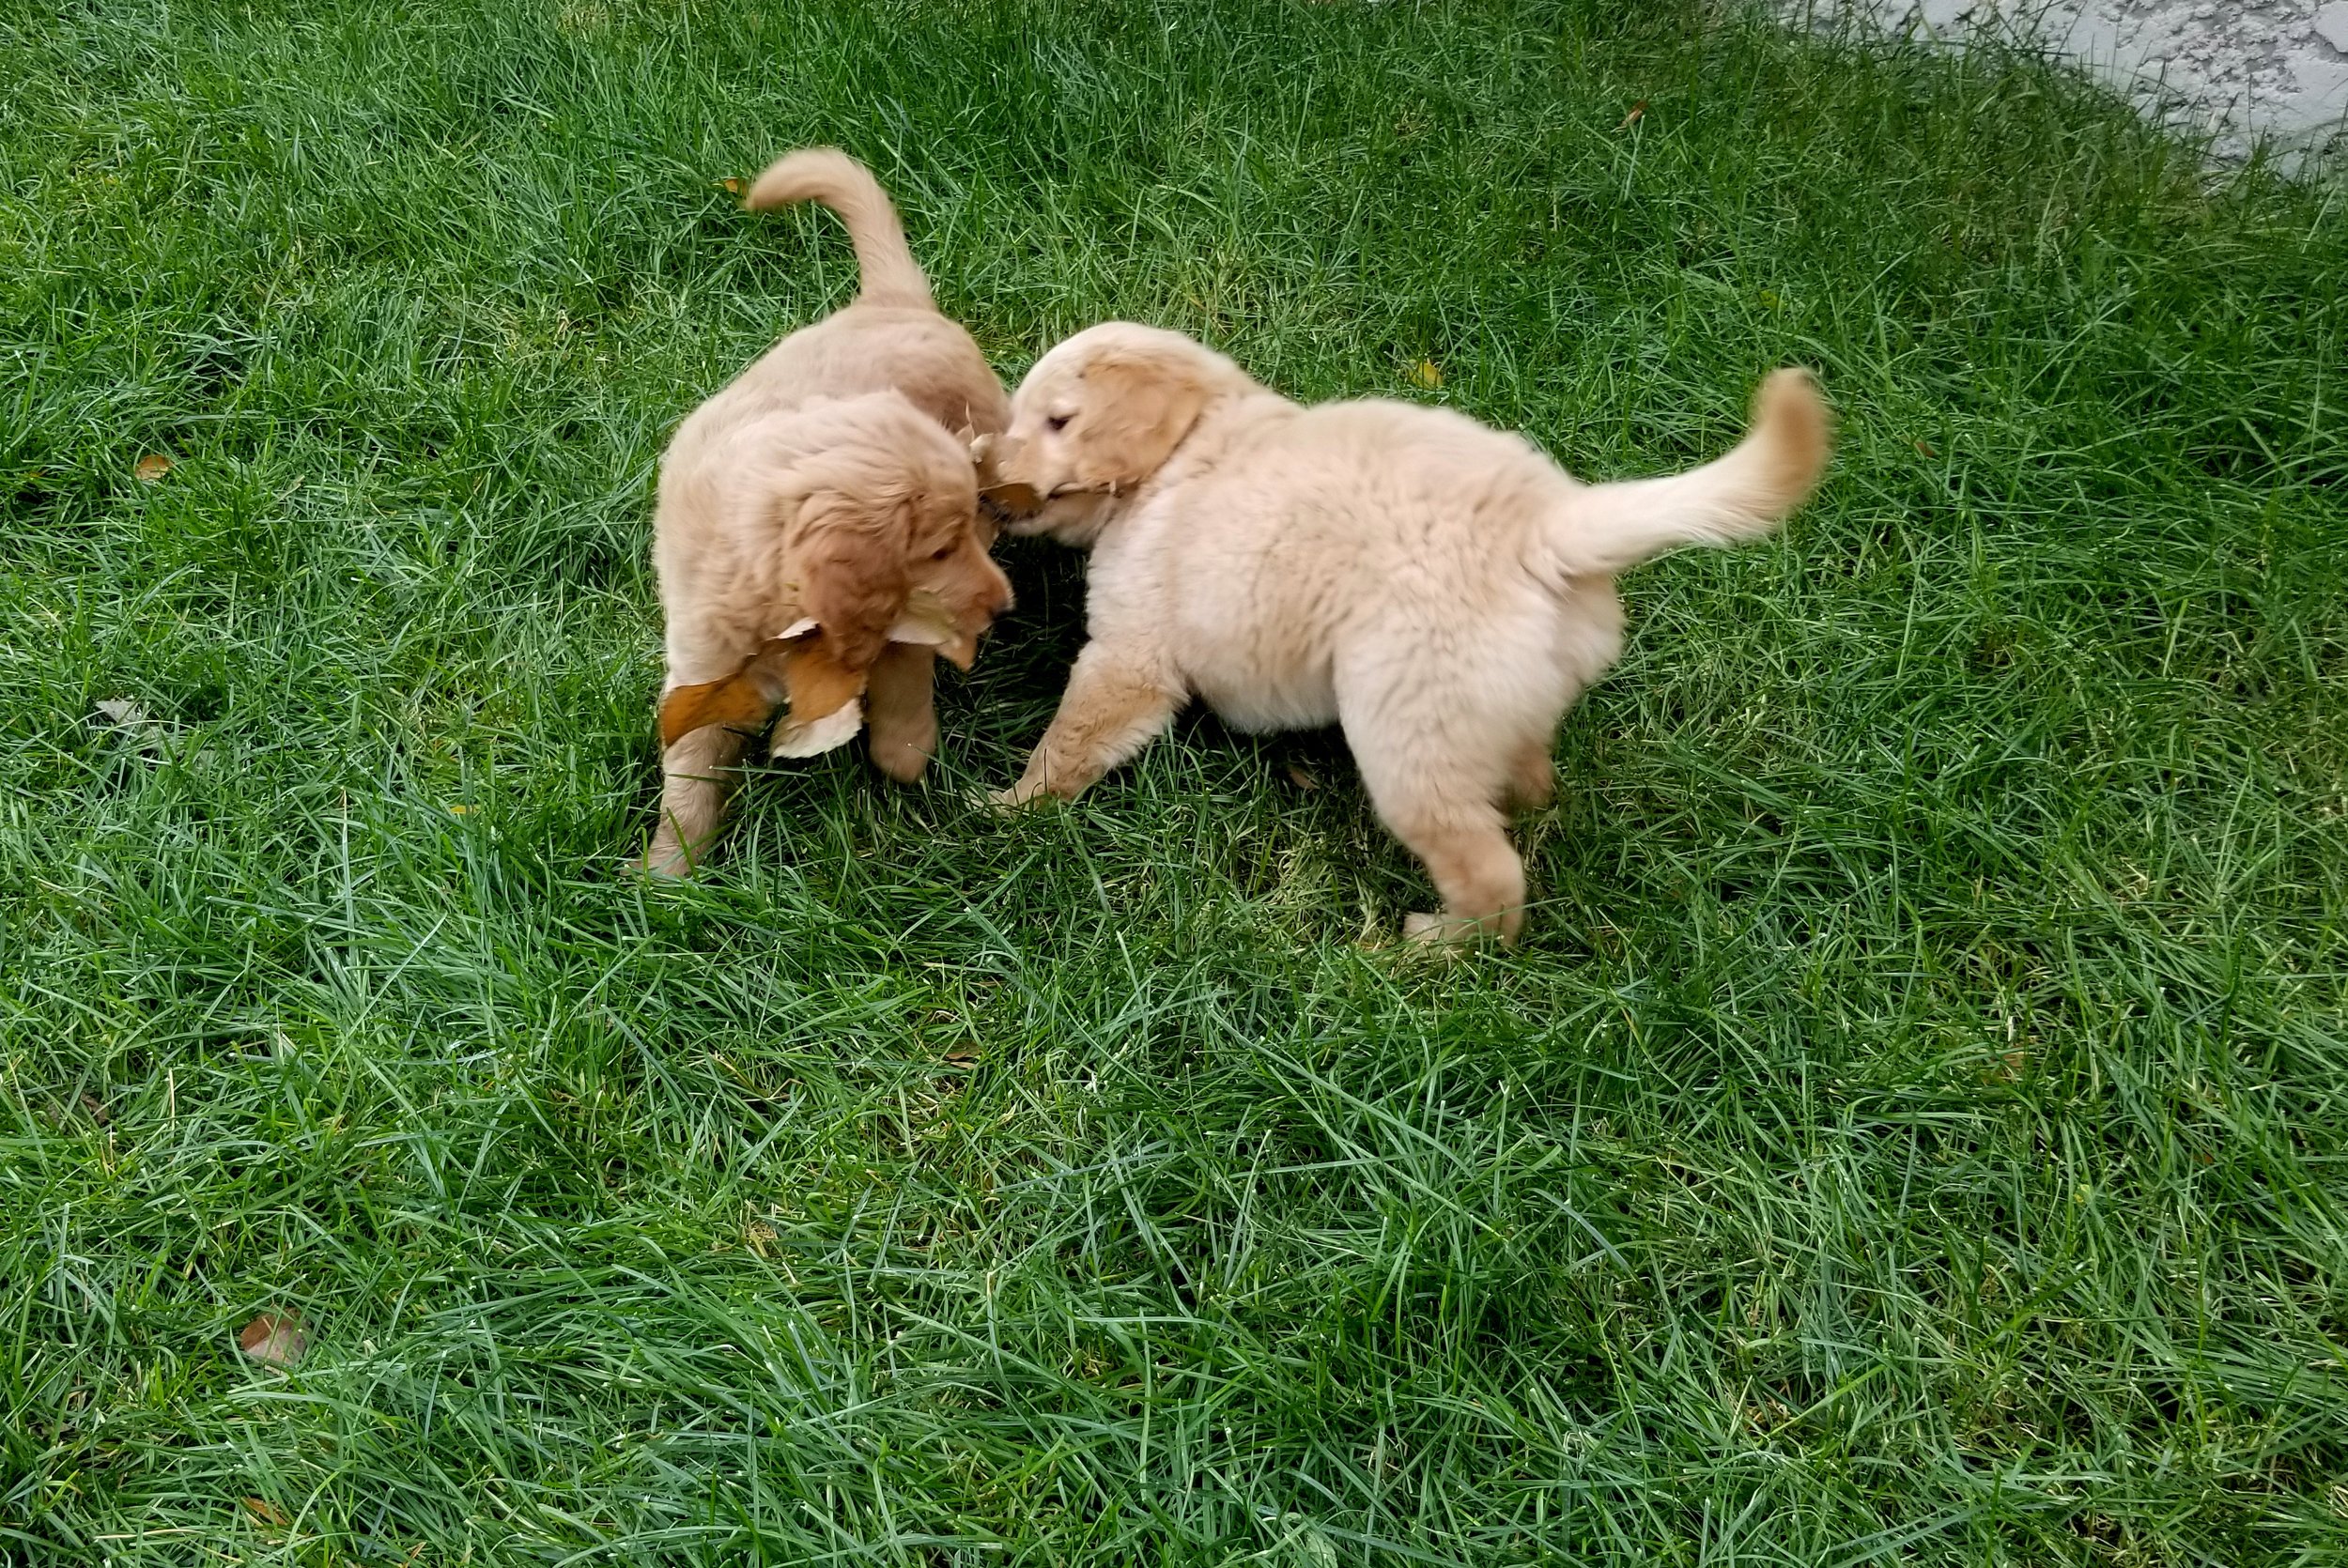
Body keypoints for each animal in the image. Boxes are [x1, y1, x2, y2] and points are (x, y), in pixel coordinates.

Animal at [643, 148, 1010, 878]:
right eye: (938, 550)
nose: (1001, 605)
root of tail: (888, 300)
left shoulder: (902, 623)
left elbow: (901, 685)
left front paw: (904, 756)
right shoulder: (703, 664)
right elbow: (690, 767)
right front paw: (670, 871)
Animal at [991, 321, 1831, 944]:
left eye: (1058, 421)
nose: (991, 484)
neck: (1184, 448)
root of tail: (1544, 524)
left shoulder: (1129, 654)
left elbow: (1071, 740)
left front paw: (1011, 807)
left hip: (1409, 731)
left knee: (1491, 877)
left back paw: (1427, 950)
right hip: (1493, 710)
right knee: (1527, 780)